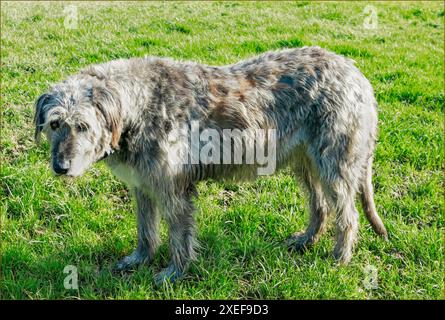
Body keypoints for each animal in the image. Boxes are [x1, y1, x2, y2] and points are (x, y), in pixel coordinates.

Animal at [35, 46, 386, 286]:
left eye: (83, 126)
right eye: (55, 123)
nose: (61, 167)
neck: (138, 106)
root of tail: (358, 76)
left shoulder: (175, 191)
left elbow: (179, 236)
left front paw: (173, 274)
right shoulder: (144, 186)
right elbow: (146, 230)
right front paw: (138, 259)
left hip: (334, 164)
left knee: (348, 216)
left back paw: (339, 258)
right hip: (305, 163)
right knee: (319, 206)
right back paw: (307, 240)